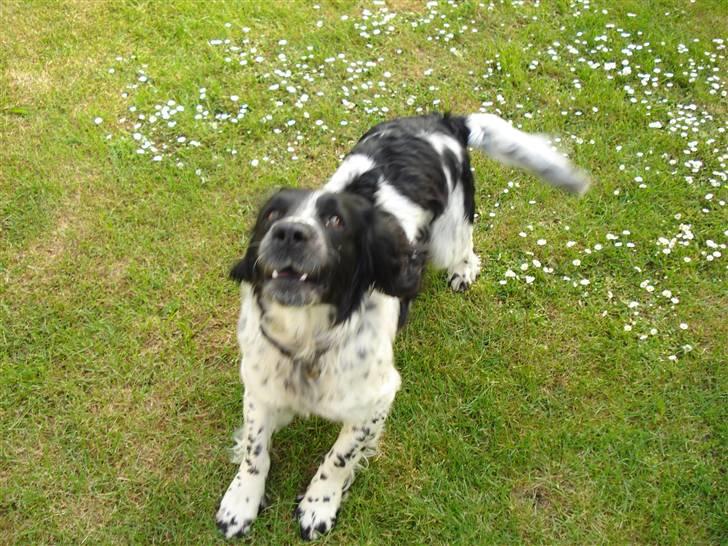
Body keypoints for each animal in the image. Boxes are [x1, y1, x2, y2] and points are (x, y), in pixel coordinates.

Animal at [213, 112, 588, 536]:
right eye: (271, 215)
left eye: (336, 220)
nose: (289, 233)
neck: (307, 340)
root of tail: (442, 119)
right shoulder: (260, 388)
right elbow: (254, 450)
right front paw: (240, 503)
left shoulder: (378, 398)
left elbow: (339, 457)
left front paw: (318, 505)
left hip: (447, 238)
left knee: (466, 246)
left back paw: (463, 270)